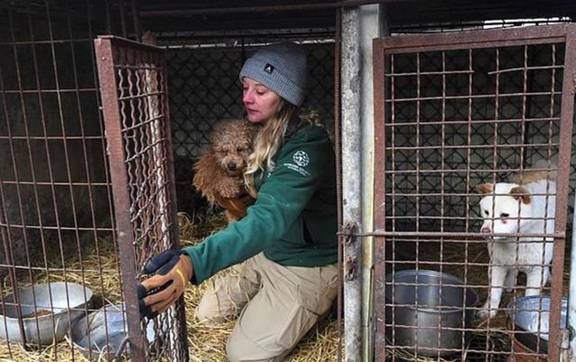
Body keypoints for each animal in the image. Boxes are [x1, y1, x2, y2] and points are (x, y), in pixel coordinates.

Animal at [474, 169, 556, 316]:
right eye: (486, 212)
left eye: (504, 215)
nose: (485, 231)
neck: (514, 242)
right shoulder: (497, 264)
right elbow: (494, 294)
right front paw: (488, 311)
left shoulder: (536, 270)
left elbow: (530, 296)